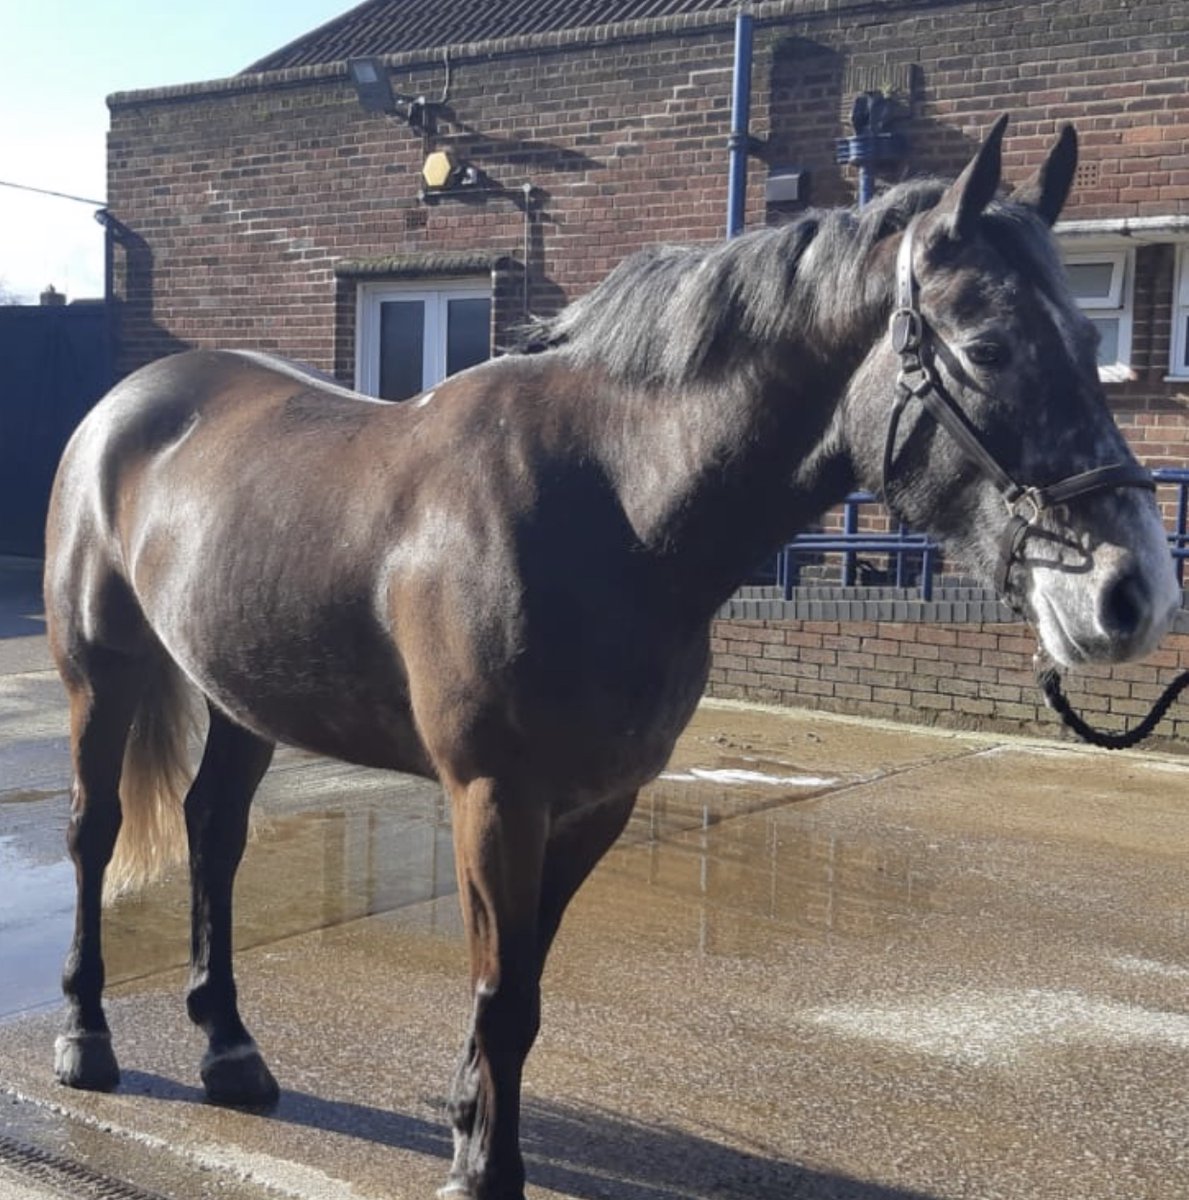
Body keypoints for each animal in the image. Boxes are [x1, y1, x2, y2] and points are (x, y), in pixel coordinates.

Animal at [44, 115, 1180, 1200]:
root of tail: (126, 403)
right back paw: (85, 1039)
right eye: (986, 347)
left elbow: (525, 994)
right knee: (95, 835)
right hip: (100, 675)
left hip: (241, 695)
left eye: (1090, 335)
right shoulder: (495, 796)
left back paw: (229, 1050)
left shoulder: (596, 803)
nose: (1132, 594)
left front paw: (471, 1131)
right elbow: (502, 994)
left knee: (214, 835)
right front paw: (485, 1170)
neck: (613, 501)